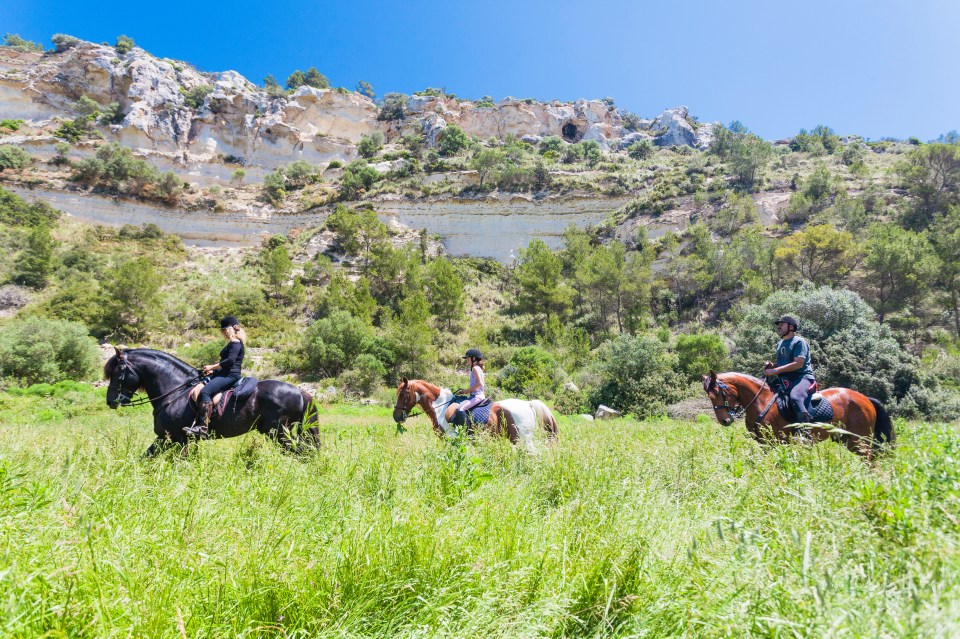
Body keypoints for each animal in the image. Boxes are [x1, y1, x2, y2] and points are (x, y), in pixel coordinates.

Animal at [106, 348, 318, 458]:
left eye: (117, 372)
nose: (110, 401)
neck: (175, 390)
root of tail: (300, 391)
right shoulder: (166, 438)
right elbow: (146, 458)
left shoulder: (179, 438)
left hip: (279, 432)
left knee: (300, 452)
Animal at [392, 378, 560, 452]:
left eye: (402, 394)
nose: (396, 416)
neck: (440, 407)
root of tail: (528, 404)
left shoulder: (451, 438)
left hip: (522, 439)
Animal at [700, 370, 896, 460]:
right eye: (708, 396)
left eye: (717, 392)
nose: (725, 420)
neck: (761, 401)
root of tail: (866, 399)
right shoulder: (765, 444)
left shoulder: (776, 442)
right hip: (847, 440)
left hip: (859, 440)